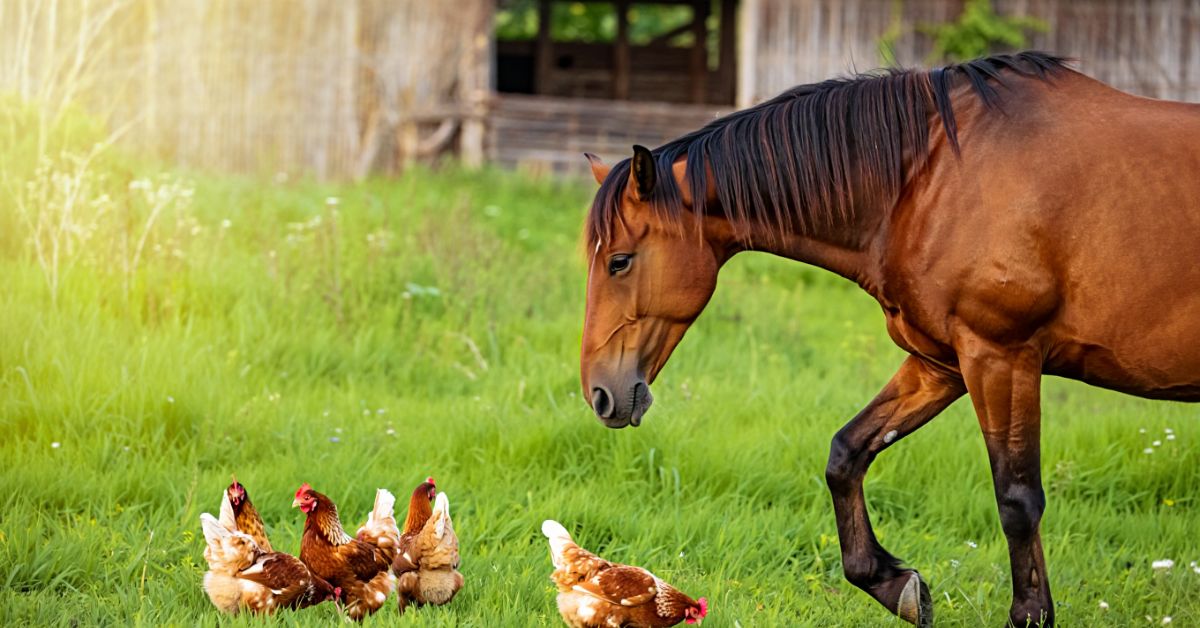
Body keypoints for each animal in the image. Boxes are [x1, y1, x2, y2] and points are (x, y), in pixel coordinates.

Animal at [577, 52, 1200, 627]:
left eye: (619, 261)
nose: (599, 394)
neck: (930, 178)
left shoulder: (1002, 356)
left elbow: (1017, 499)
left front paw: (1029, 616)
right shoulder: (942, 362)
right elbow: (847, 454)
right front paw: (893, 583)